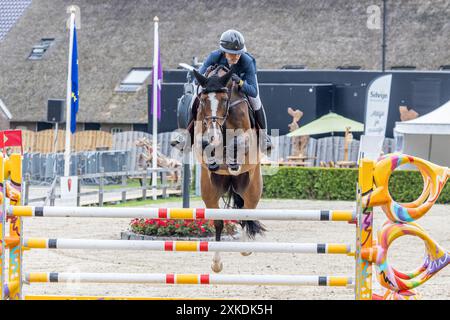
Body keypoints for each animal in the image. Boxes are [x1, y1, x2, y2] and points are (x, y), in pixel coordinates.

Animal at [192, 65, 266, 272]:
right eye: (203, 100)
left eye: (225, 100)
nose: (214, 134)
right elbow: (203, 143)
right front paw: (213, 158)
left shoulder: (247, 137)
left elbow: (238, 142)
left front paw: (232, 161)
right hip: (210, 190)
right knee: (218, 221)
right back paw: (216, 263)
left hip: (252, 186)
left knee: (247, 212)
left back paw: (245, 249)